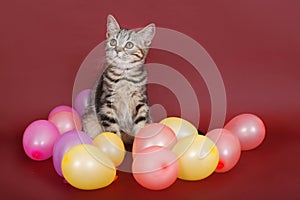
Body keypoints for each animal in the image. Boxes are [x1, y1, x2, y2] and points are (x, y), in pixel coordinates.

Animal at [82, 14, 155, 145]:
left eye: (129, 45)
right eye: (113, 42)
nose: (117, 50)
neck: (124, 76)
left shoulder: (140, 103)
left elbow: (141, 125)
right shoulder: (106, 104)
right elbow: (113, 131)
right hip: (90, 121)